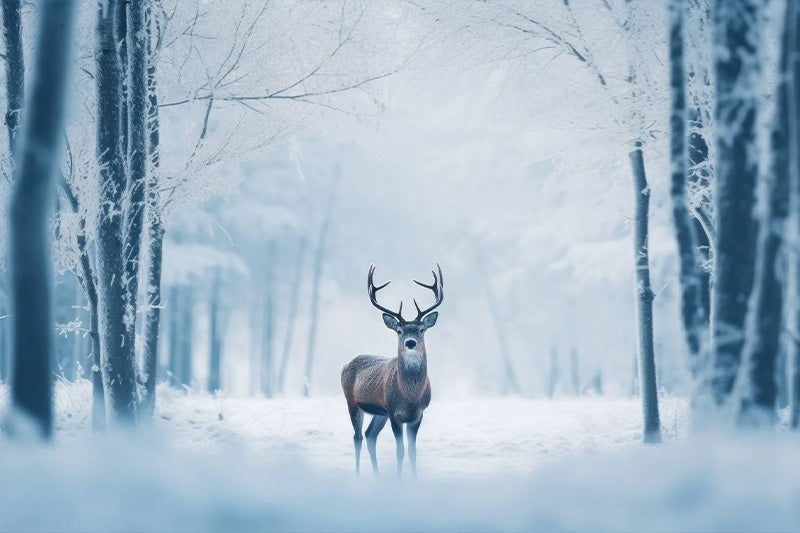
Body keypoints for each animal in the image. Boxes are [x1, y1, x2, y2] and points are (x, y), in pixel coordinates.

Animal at [341, 264, 443, 476]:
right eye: (399, 331)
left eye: (421, 330)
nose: (410, 342)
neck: (410, 397)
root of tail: (345, 365)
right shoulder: (394, 411)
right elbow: (400, 451)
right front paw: (399, 478)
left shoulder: (418, 414)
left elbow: (412, 452)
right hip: (352, 402)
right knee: (357, 437)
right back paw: (357, 474)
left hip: (380, 413)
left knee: (370, 435)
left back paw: (377, 474)